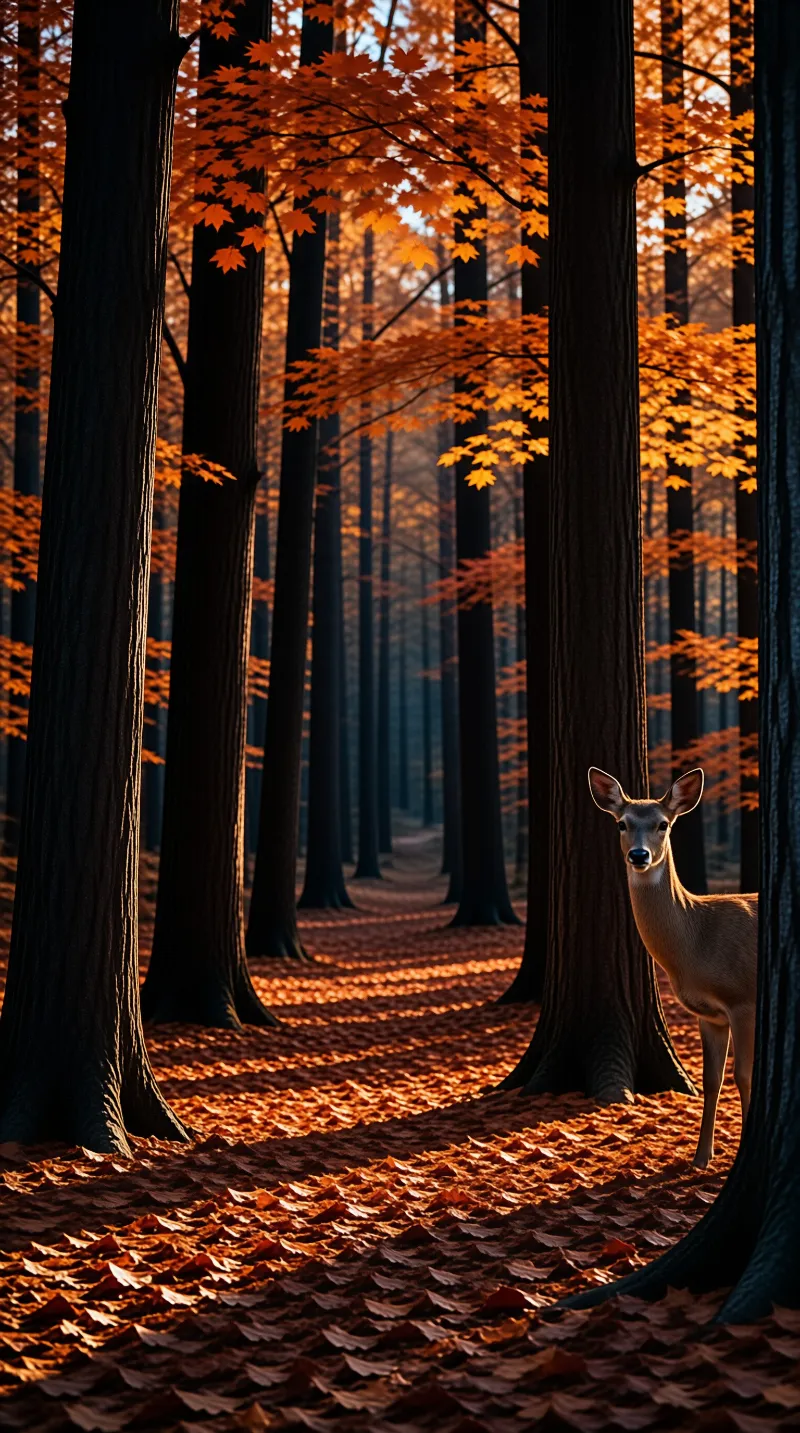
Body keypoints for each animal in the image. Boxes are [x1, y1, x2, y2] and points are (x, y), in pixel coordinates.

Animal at [588, 766, 757, 1169]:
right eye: (622, 823)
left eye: (663, 824)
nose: (639, 854)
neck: (698, 943)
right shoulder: (710, 1015)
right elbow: (711, 1080)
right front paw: (701, 1157)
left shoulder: (743, 998)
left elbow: (744, 1076)